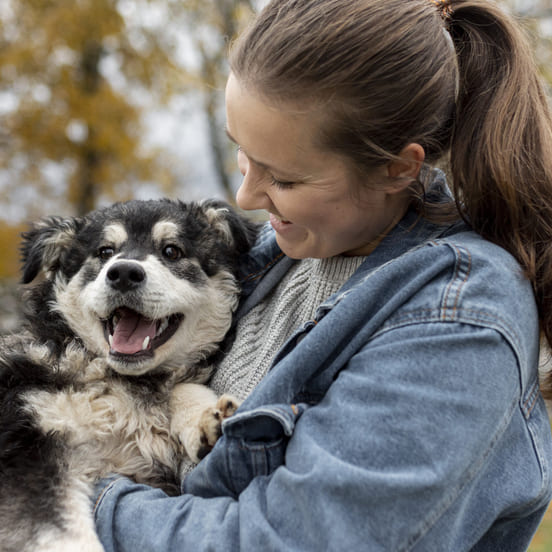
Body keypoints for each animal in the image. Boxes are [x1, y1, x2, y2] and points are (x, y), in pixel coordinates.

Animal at [0, 198, 258, 552]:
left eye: (171, 251)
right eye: (105, 251)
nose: (123, 273)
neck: (120, 381)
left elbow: (181, 387)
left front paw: (205, 416)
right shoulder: (27, 444)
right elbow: (60, 533)